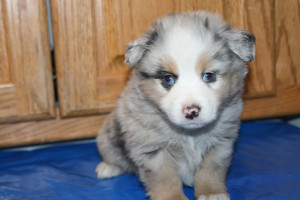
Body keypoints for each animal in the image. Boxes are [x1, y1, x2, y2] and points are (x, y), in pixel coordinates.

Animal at [96, 10, 255, 200]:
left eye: (209, 76)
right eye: (167, 78)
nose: (191, 111)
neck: (190, 134)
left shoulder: (221, 143)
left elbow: (211, 169)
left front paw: (211, 193)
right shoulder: (153, 149)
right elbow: (165, 178)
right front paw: (173, 197)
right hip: (107, 136)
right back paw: (108, 168)